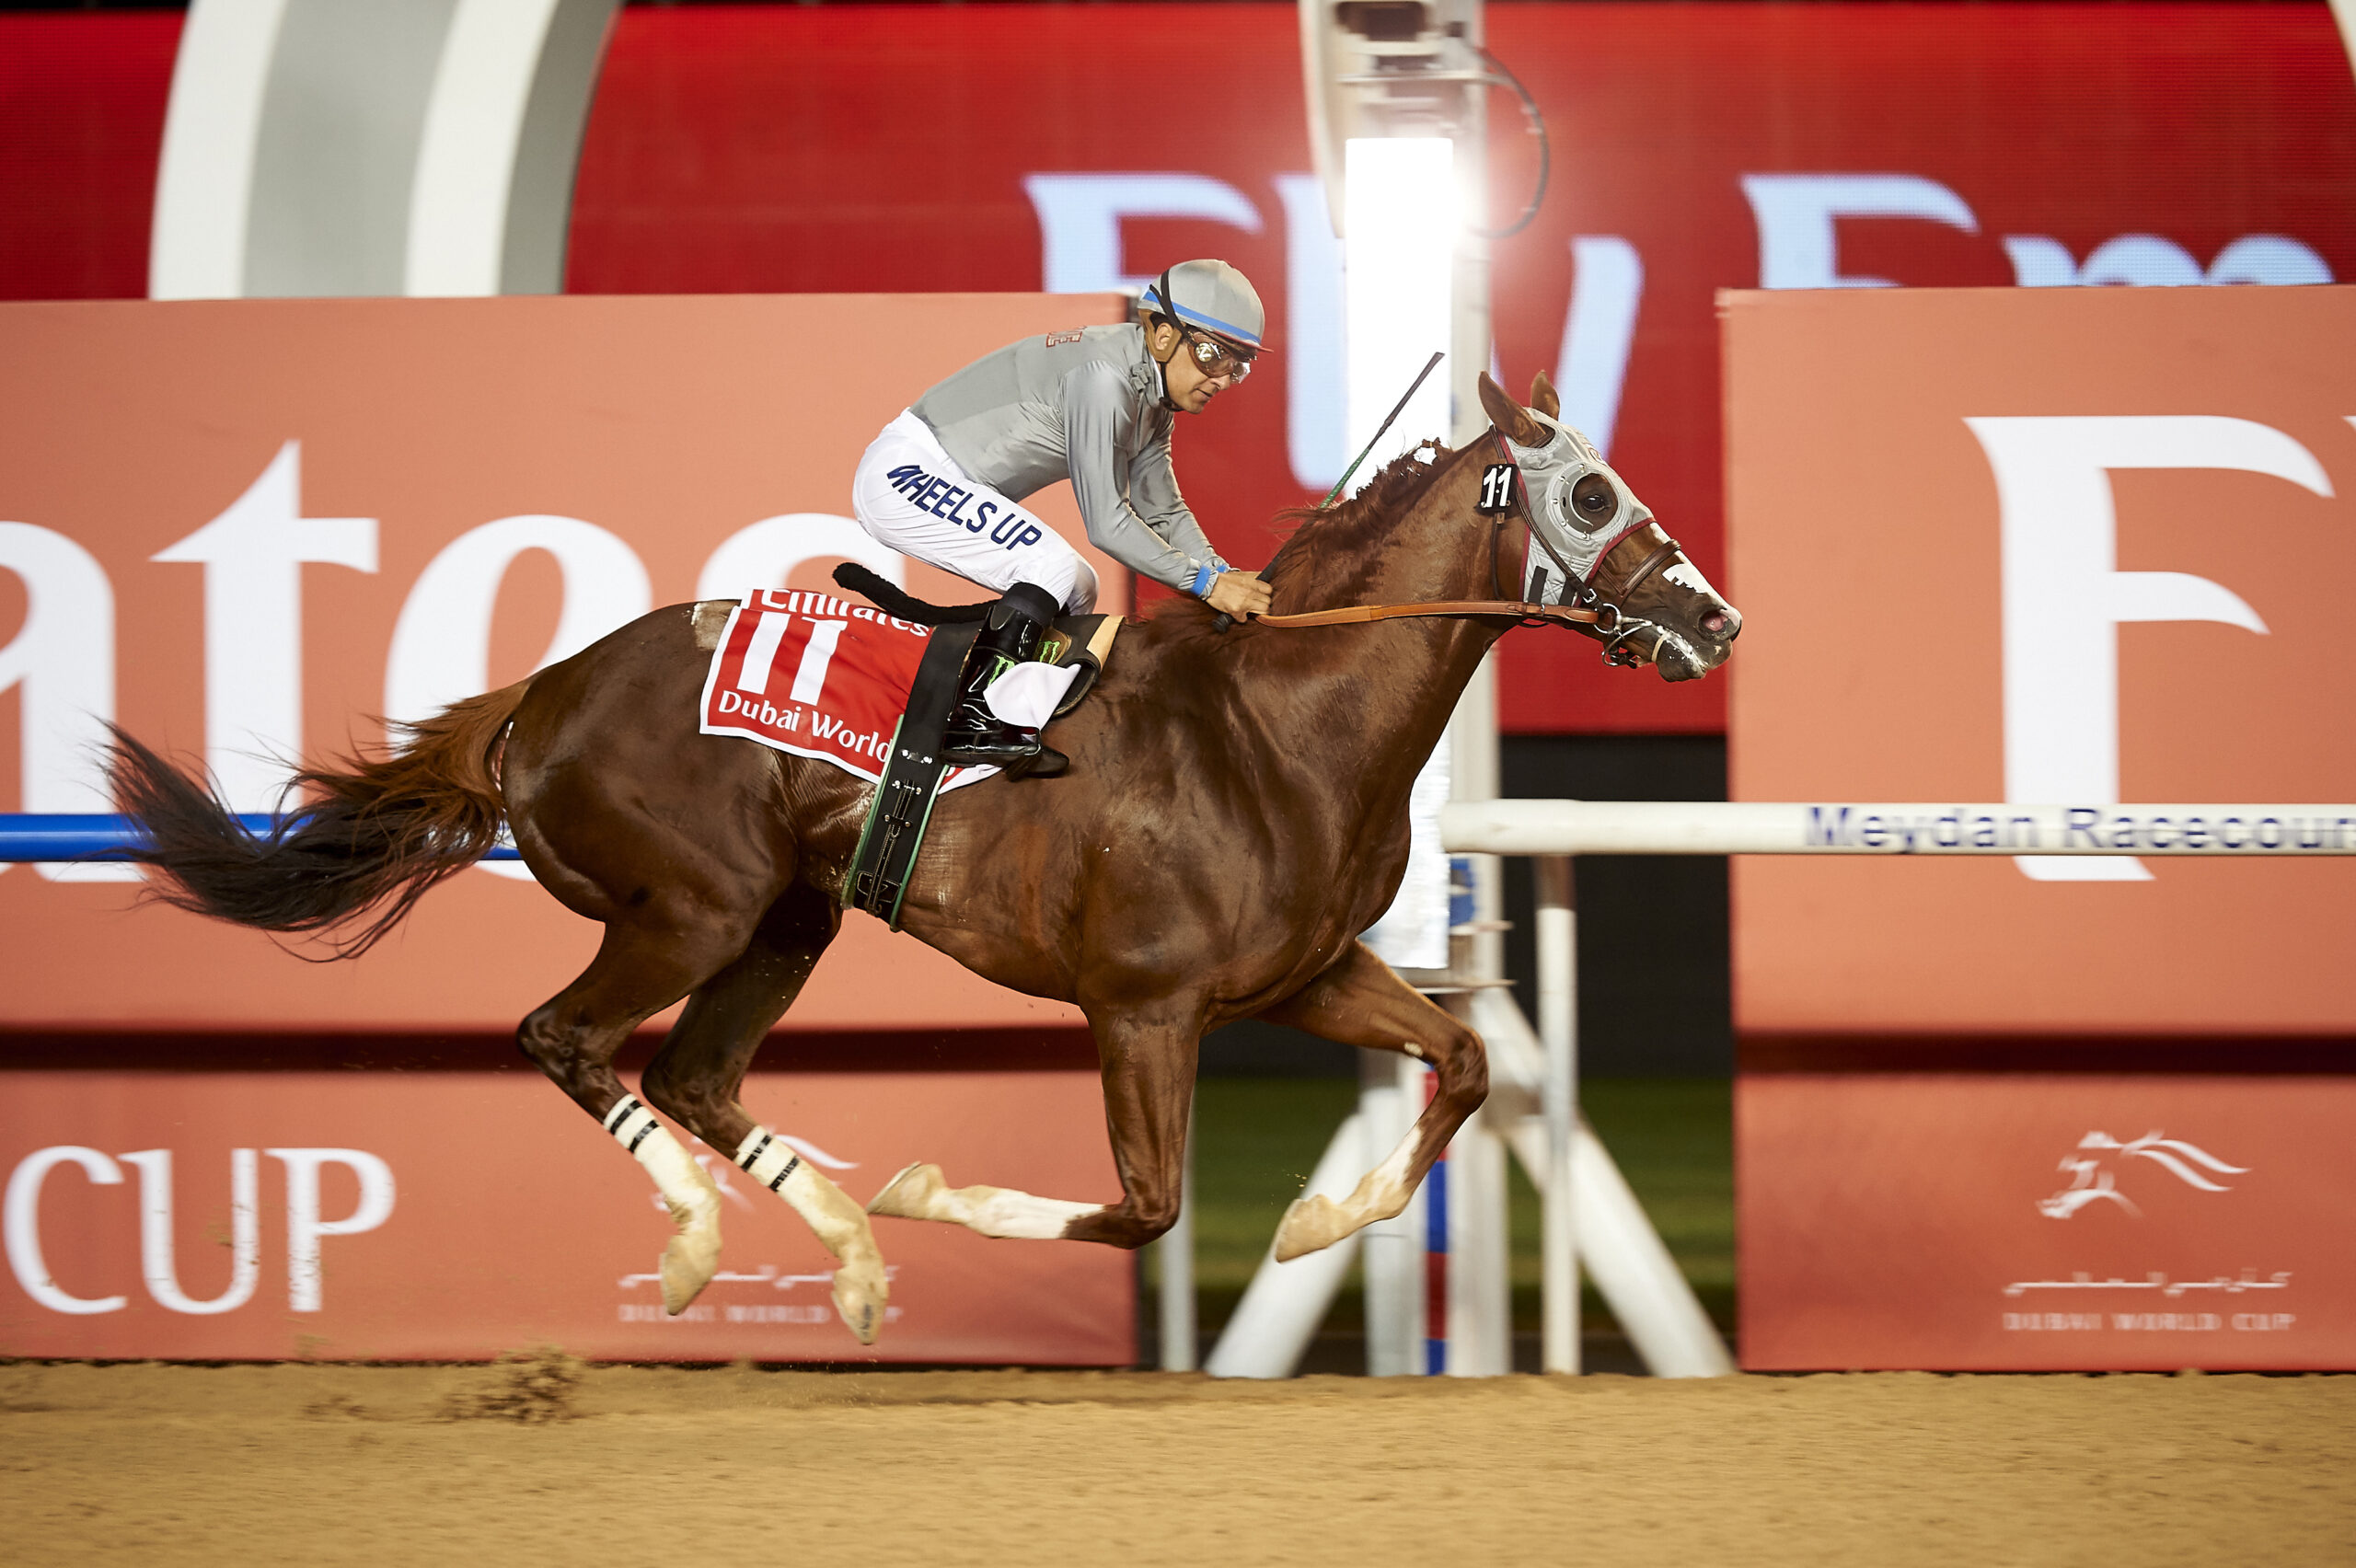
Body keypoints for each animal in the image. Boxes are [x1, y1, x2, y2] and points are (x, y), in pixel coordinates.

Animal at [110, 372, 1734, 1337]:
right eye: (1591, 492)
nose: (1714, 620)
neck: (1281, 725)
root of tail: (546, 691)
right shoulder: (1144, 1007)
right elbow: (1140, 1205)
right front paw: (925, 1196)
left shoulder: (1303, 977)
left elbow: (1460, 1064)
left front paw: (1319, 1219)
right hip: (687, 909)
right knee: (567, 1040)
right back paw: (708, 1247)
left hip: (786, 921)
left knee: (693, 1077)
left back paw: (847, 1263)